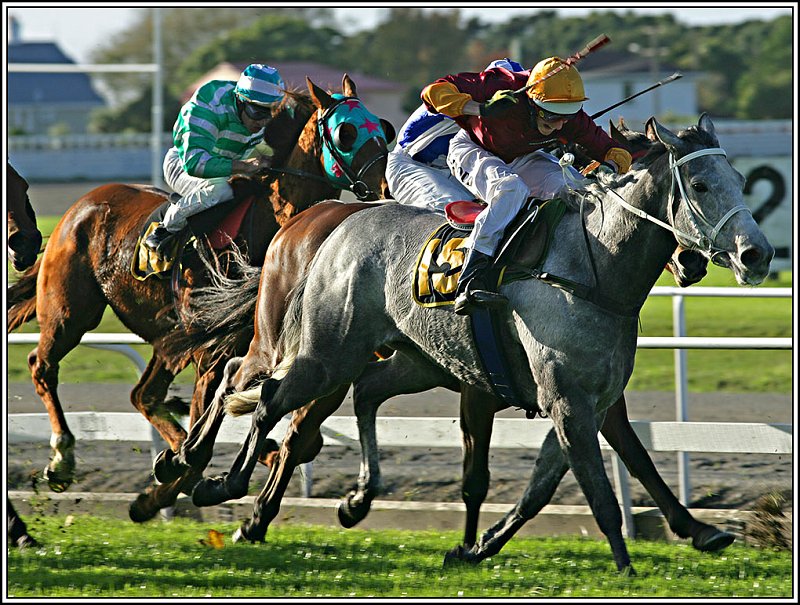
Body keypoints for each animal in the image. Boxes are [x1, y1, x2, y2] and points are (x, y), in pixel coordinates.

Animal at [5, 74, 394, 520]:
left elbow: (297, 437)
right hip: (72, 311)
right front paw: (178, 475)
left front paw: (173, 479)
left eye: (383, 128)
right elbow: (211, 432)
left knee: (144, 395)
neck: (270, 227)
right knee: (42, 365)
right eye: (346, 132)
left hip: (163, 337)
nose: (384, 185)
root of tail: (77, 209)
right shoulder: (211, 350)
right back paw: (62, 459)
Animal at [189, 114, 776, 572]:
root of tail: (340, 224)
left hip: (409, 359)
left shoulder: (594, 399)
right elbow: (592, 489)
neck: (593, 270)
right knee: (264, 395)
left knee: (360, 391)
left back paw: (349, 497)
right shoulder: (563, 400)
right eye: (700, 185)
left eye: (740, 178)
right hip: (325, 351)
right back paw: (213, 479)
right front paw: (625, 565)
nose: (758, 254)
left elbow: (597, 472)